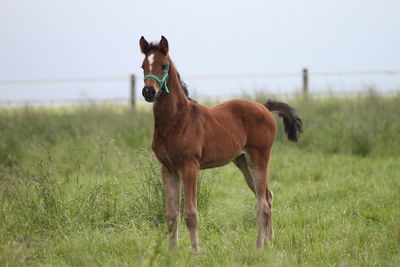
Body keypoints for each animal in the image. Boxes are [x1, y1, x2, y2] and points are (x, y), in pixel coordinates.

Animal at [139, 36, 302, 253]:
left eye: (164, 66)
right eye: (142, 66)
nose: (149, 91)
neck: (176, 120)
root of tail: (264, 107)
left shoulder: (190, 166)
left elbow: (190, 214)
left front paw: (195, 252)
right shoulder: (168, 169)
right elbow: (172, 215)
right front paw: (172, 253)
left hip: (259, 157)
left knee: (262, 204)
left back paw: (259, 247)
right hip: (242, 162)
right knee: (268, 196)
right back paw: (269, 242)